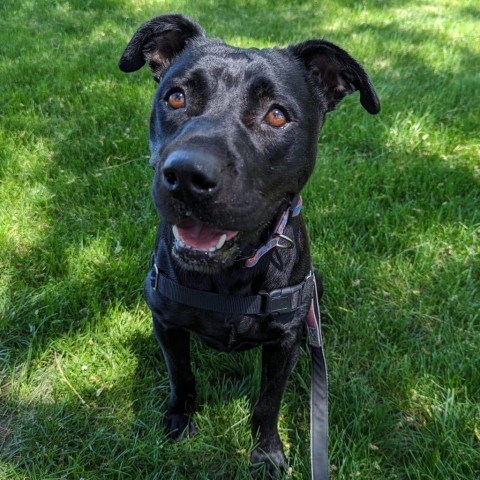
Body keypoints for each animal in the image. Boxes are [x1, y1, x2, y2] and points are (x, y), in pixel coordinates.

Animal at [119, 14, 378, 476]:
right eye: (175, 97)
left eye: (276, 115)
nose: (188, 175)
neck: (229, 276)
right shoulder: (167, 323)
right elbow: (182, 377)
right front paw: (178, 420)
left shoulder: (283, 343)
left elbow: (268, 403)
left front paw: (267, 452)